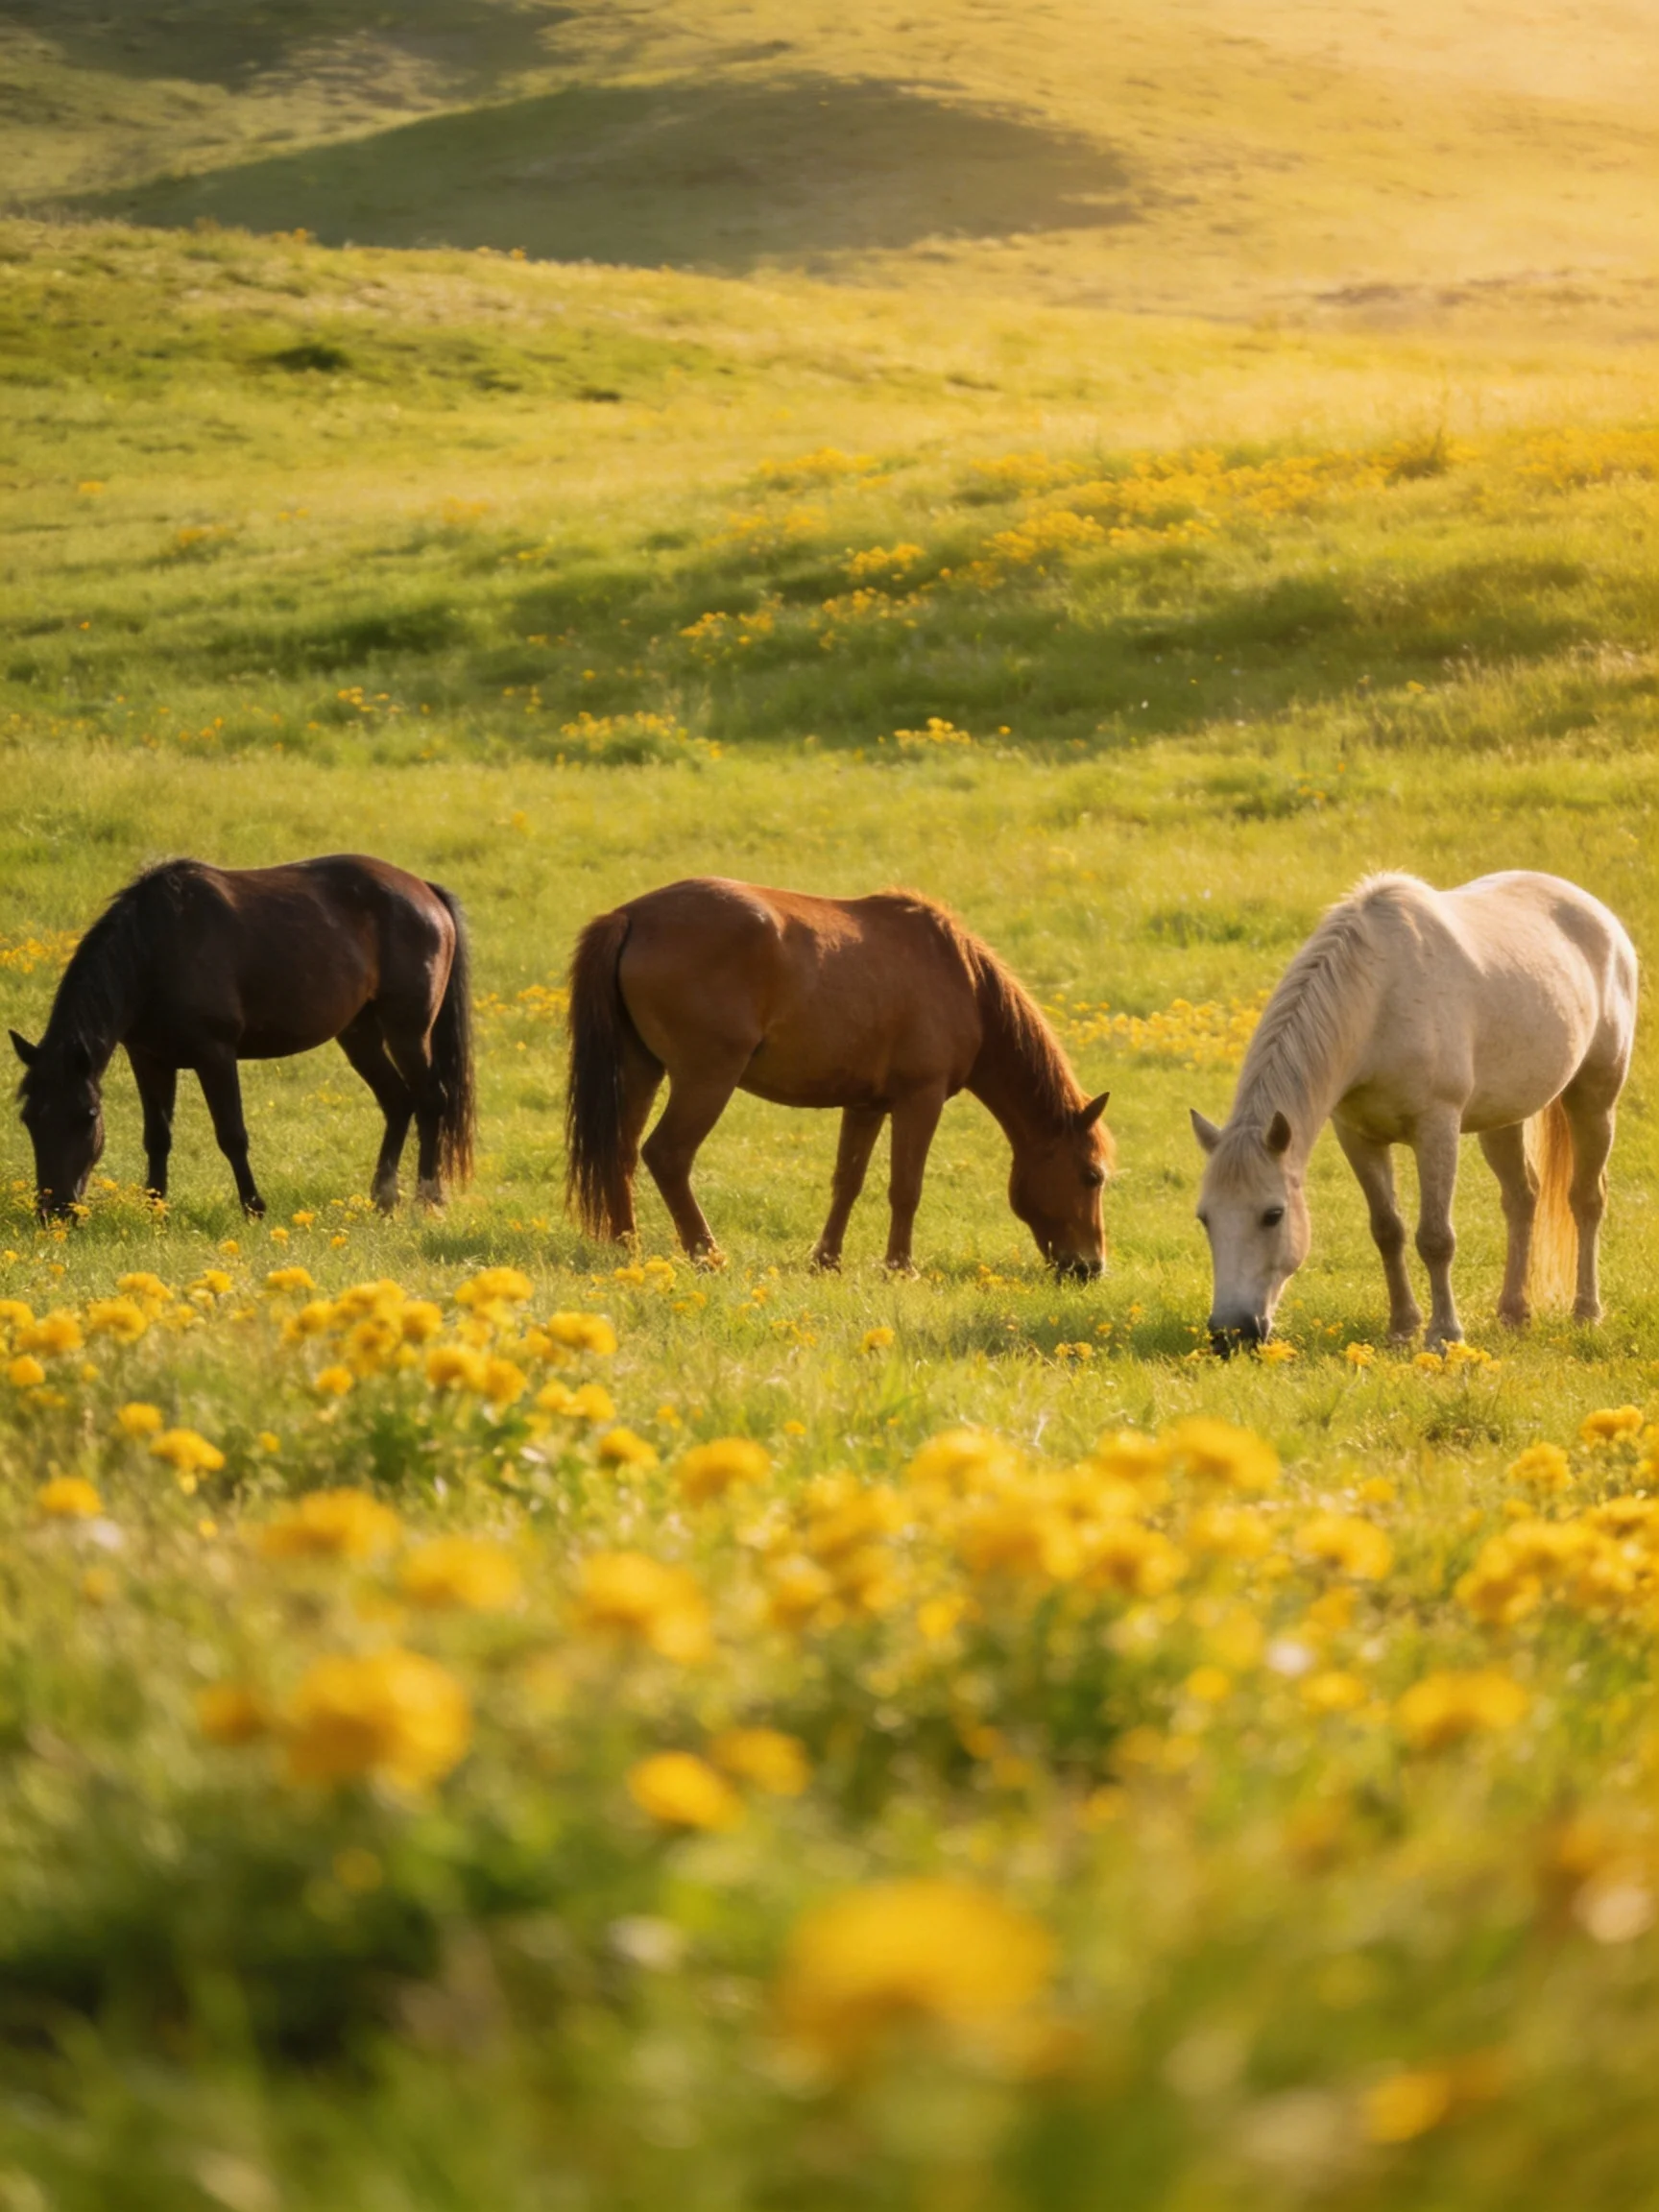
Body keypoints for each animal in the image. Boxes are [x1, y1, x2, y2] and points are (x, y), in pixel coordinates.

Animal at [10, 855, 476, 1221]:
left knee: (430, 1100)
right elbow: (157, 1137)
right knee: (398, 1101)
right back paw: (383, 1198)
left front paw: (254, 1207)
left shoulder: (215, 1054)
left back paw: (428, 1198)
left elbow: (232, 1134)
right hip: (359, 1034)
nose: (55, 1211)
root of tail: (426, 892)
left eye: (88, 1116)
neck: (157, 949)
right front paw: (155, 1209)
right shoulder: (149, 1058)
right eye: (29, 1118)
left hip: (407, 1030)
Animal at [563, 877, 1112, 1276]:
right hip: (705, 1080)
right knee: (668, 1156)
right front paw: (900, 1269)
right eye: (1092, 1175)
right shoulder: (921, 1099)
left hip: (640, 1070)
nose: (1091, 1268)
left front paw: (826, 1260)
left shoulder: (866, 1105)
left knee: (621, 1154)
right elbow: (905, 1187)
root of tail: (631, 916)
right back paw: (706, 1253)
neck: (962, 980)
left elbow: (847, 1181)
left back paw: (628, 1249)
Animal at [1189, 870, 1637, 1352]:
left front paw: (1444, 1334)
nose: (1230, 1334)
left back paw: (1586, 1312)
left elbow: (1435, 1238)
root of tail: (1600, 916)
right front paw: (1401, 1327)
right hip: (1503, 1118)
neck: (1379, 999)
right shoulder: (1357, 1135)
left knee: (1586, 1198)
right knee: (1522, 1198)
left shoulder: (1436, 1128)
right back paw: (1513, 1313)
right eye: (1205, 1217)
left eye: (1273, 1215)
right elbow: (1388, 1230)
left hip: (1594, 1100)